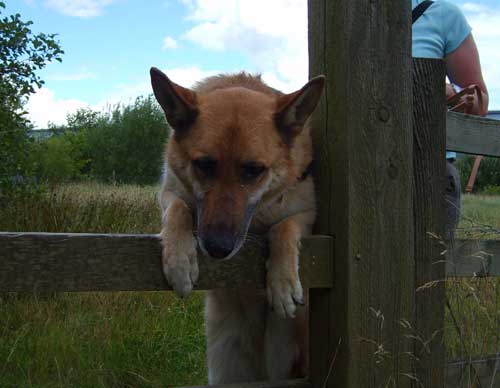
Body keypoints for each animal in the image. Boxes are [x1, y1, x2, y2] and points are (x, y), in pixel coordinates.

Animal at [150, 68, 326, 384]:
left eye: (254, 170)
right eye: (204, 165)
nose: (218, 248)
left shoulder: (307, 213)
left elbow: (284, 228)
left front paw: (282, 281)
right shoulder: (170, 192)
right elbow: (179, 210)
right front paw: (180, 260)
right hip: (224, 365)